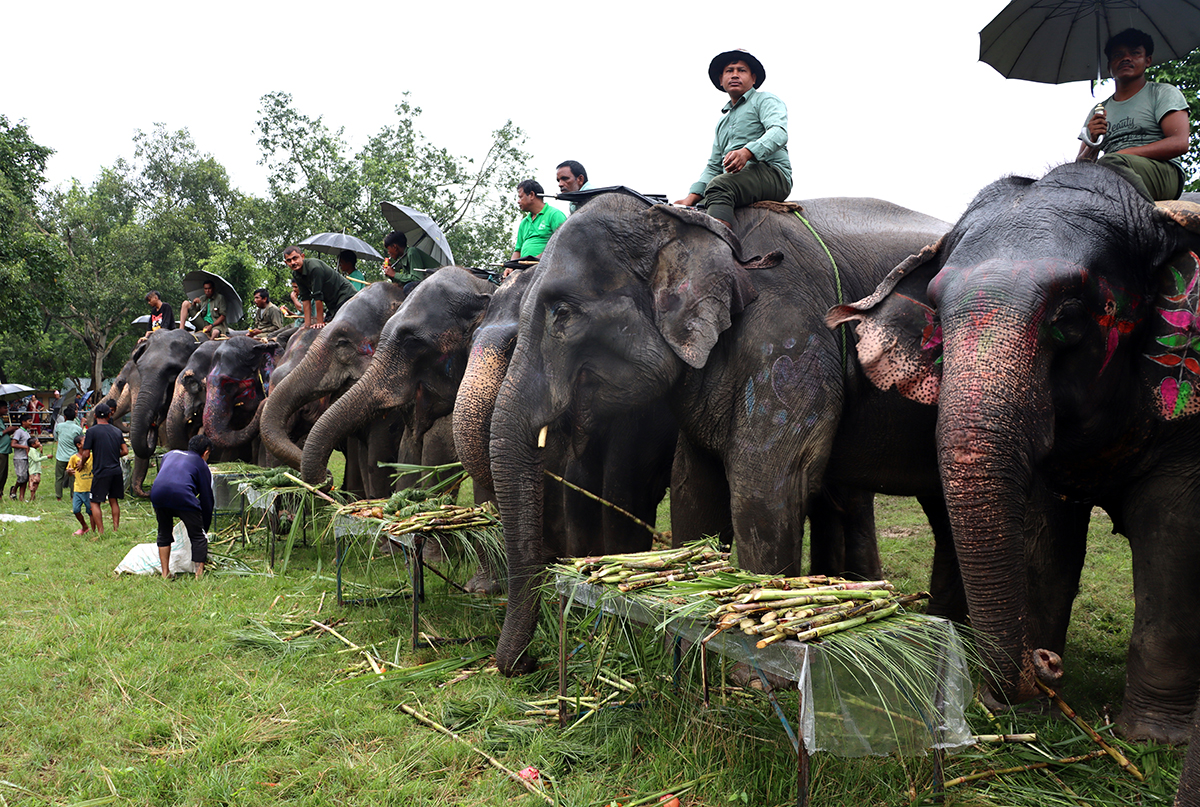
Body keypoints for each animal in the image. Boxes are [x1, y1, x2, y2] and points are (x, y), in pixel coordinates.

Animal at [482, 193, 950, 672]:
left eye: (562, 314)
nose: (525, 666)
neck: (686, 223)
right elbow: (694, 489)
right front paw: (687, 639)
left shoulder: (788, 341)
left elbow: (765, 490)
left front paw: (752, 669)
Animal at [830, 160, 1200, 749]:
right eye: (937, 313)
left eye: (1070, 315)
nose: (1045, 661)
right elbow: (1046, 539)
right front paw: (1025, 713)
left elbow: (1173, 532)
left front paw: (1154, 740)